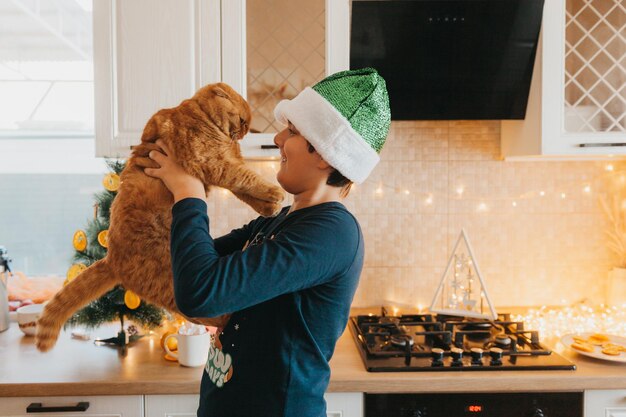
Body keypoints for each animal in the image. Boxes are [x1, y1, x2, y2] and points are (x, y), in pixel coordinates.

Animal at [35, 83, 284, 350]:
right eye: (242, 120)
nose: (245, 131)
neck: (200, 115)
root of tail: (111, 258)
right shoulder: (212, 163)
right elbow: (246, 178)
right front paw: (275, 193)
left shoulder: (224, 164)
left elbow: (245, 191)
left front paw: (269, 207)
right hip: (176, 280)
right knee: (204, 309)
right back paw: (230, 318)